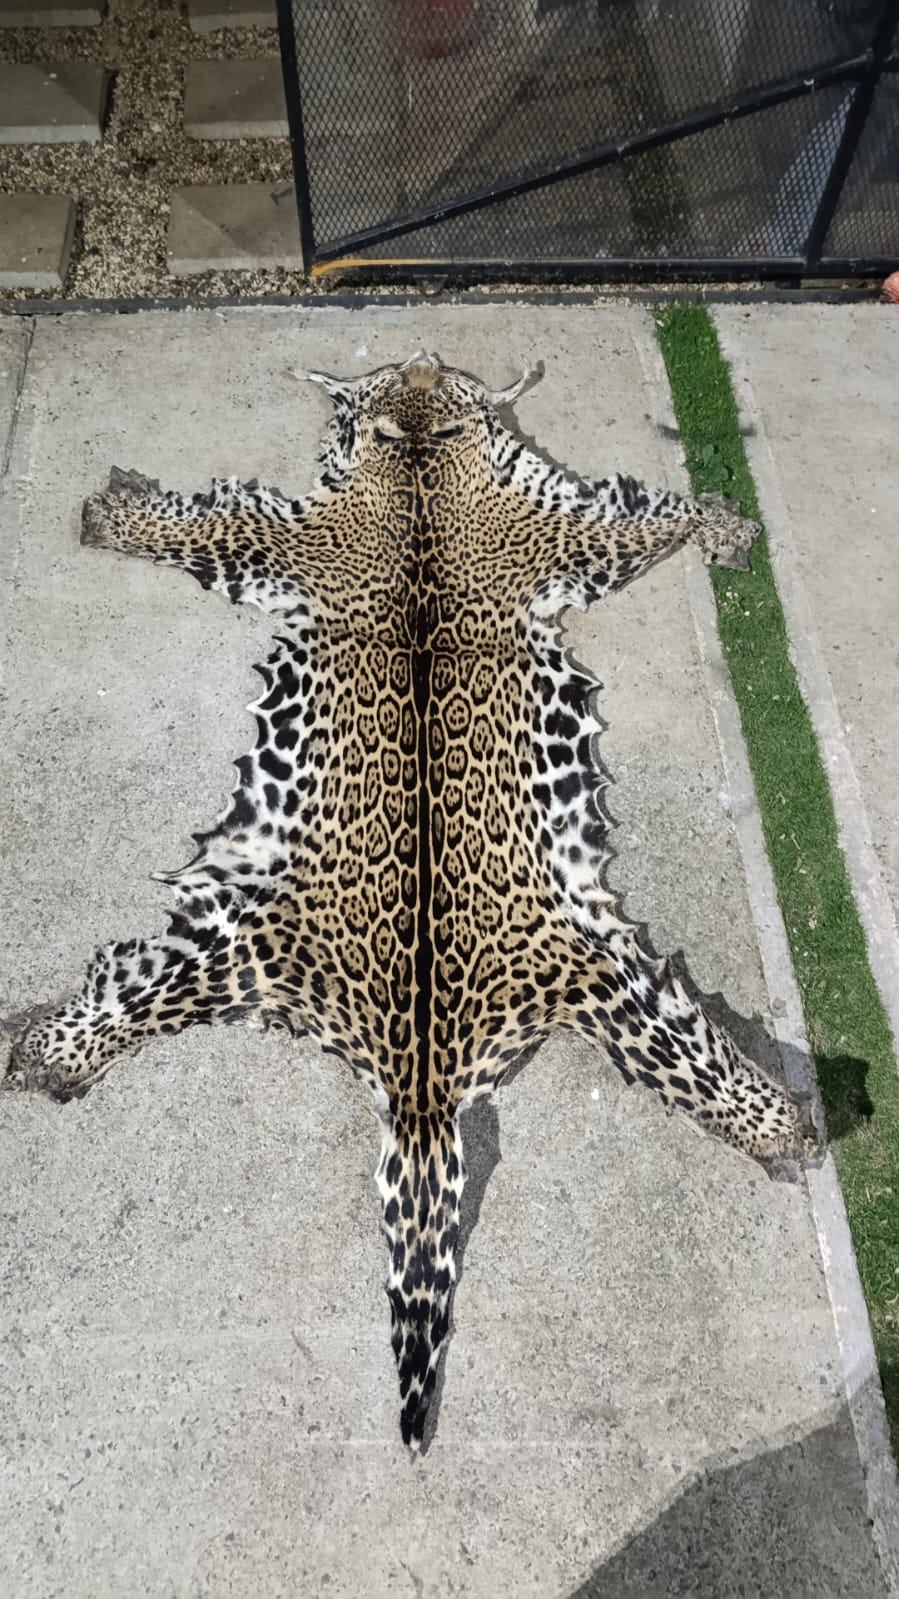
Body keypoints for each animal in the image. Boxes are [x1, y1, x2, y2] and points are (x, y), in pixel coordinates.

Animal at [4, 351, 816, 1450]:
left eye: (429, 378)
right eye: (394, 376)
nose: (423, 359)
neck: (423, 464)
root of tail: (423, 1091)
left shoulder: (547, 532)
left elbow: (651, 519)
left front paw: (724, 525)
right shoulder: (314, 539)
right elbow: (197, 527)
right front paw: (113, 515)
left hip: (576, 974)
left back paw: (780, 1119)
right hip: (258, 944)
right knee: (123, 993)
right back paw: (49, 1047)